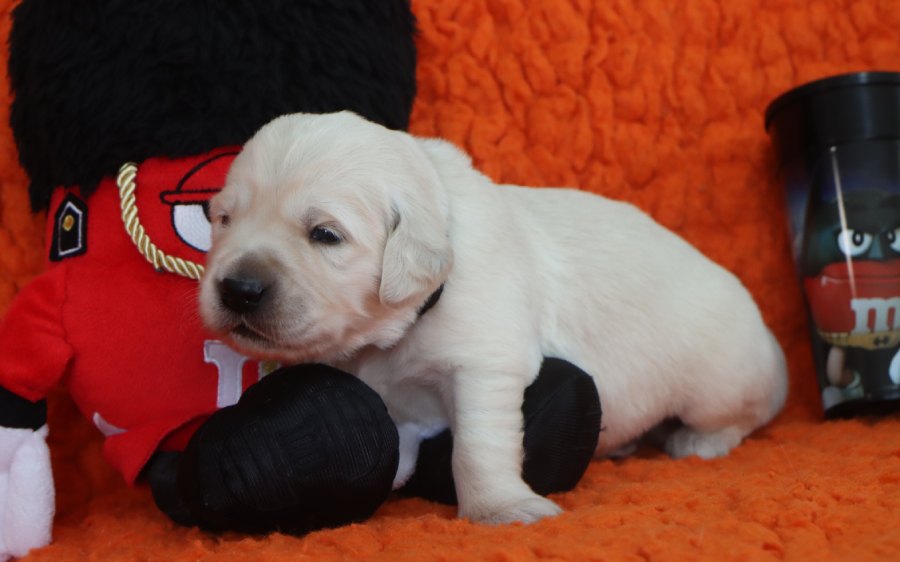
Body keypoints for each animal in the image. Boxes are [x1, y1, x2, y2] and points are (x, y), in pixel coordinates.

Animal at [199, 111, 788, 525]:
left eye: (325, 234)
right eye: (223, 219)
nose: (237, 290)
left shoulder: (485, 362)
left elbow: (477, 447)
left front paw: (500, 509)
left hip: (719, 382)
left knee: (740, 417)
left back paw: (696, 442)